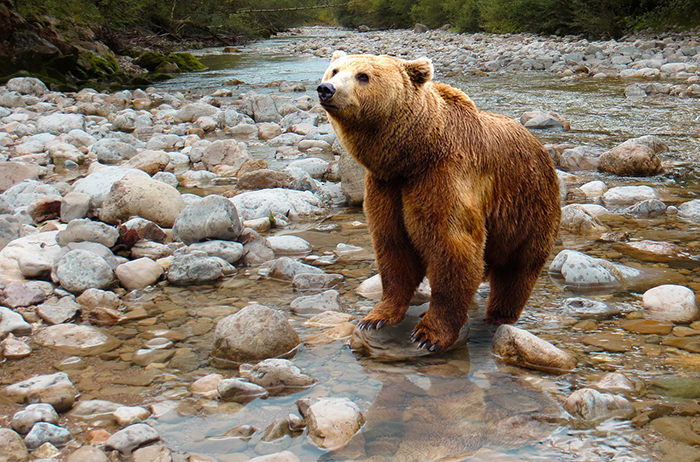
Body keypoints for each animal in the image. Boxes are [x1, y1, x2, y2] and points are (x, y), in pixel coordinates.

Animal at [317, 51, 561, 353]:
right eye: (334, 70)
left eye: (363, 76)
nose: (326, 89)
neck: (413, 155)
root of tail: (541, 147)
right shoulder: (386, 187)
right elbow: (393, 247)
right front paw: (376, 317)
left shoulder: (442, 177)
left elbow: (452, 248)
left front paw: (429, 334)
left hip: (528, 208)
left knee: (517, 271)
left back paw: (498, 315)